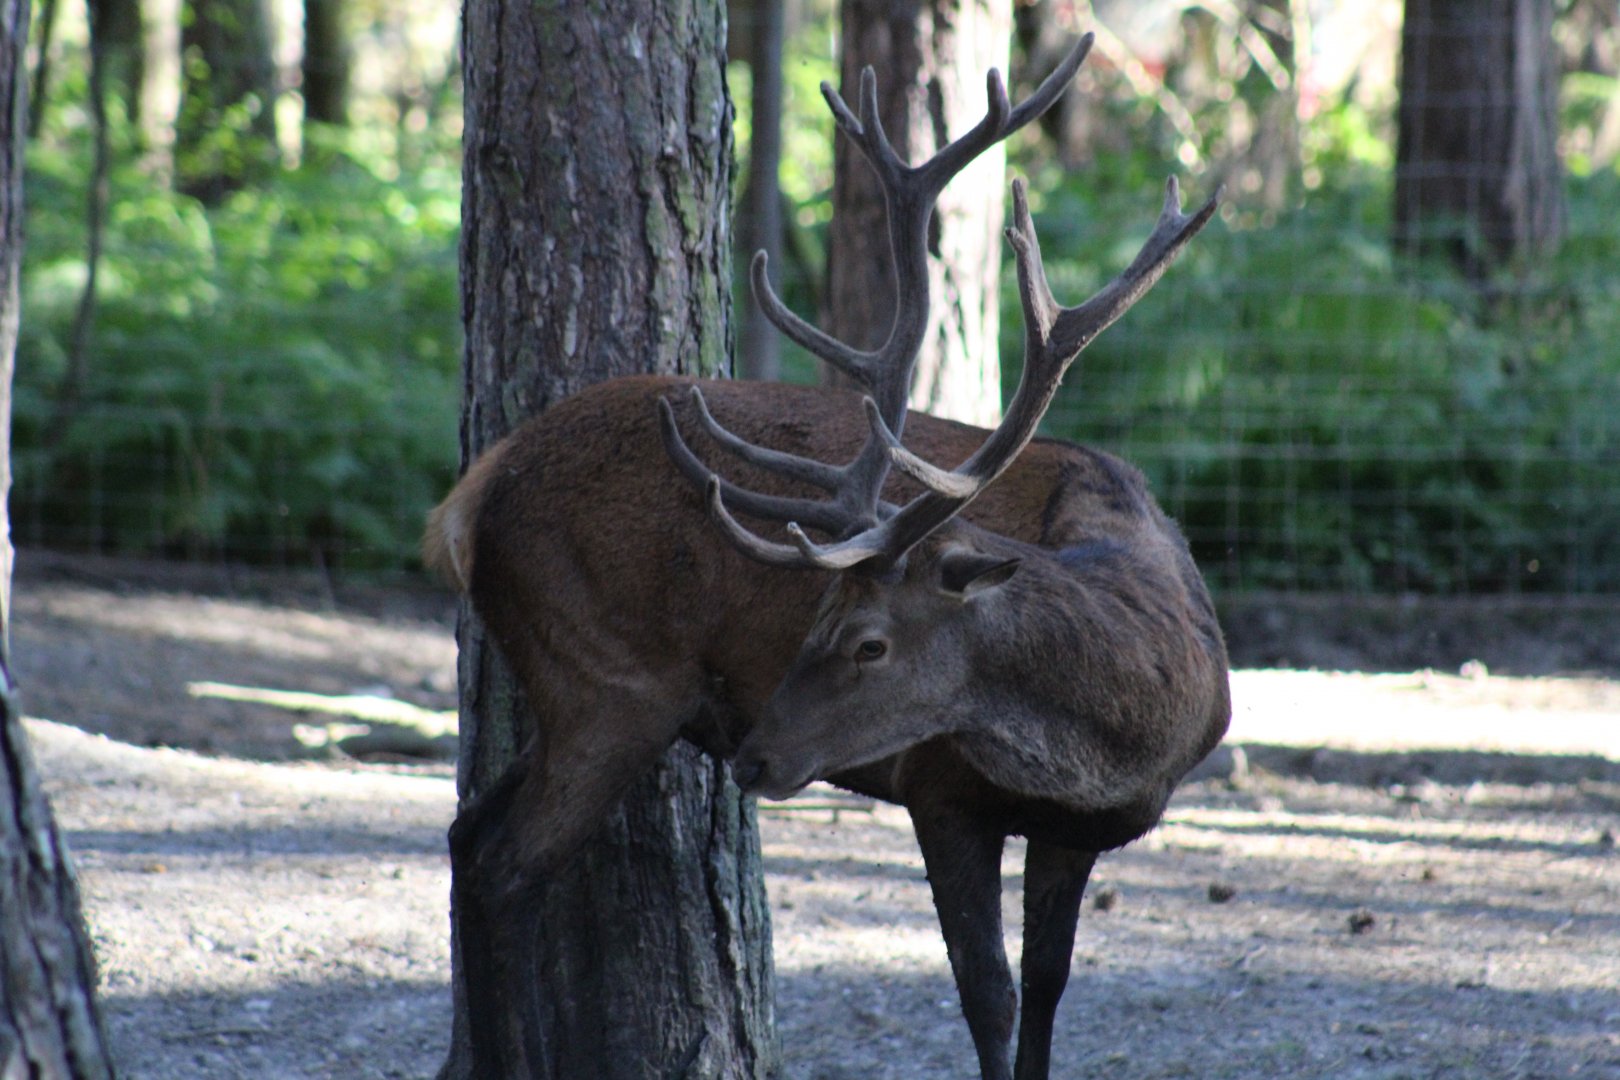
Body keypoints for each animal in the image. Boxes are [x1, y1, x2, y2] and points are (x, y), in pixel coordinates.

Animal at [425, 34, 1230, 1080]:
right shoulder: (941, 788)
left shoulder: (1077, 834)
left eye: (867, 642)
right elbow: (991, 996)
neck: (1137, 729)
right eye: (816, 619)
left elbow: (1050, 992)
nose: (755, 756)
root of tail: (471, 496)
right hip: (606, 678)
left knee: (466, 834)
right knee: (505, 869)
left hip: (582, 682)